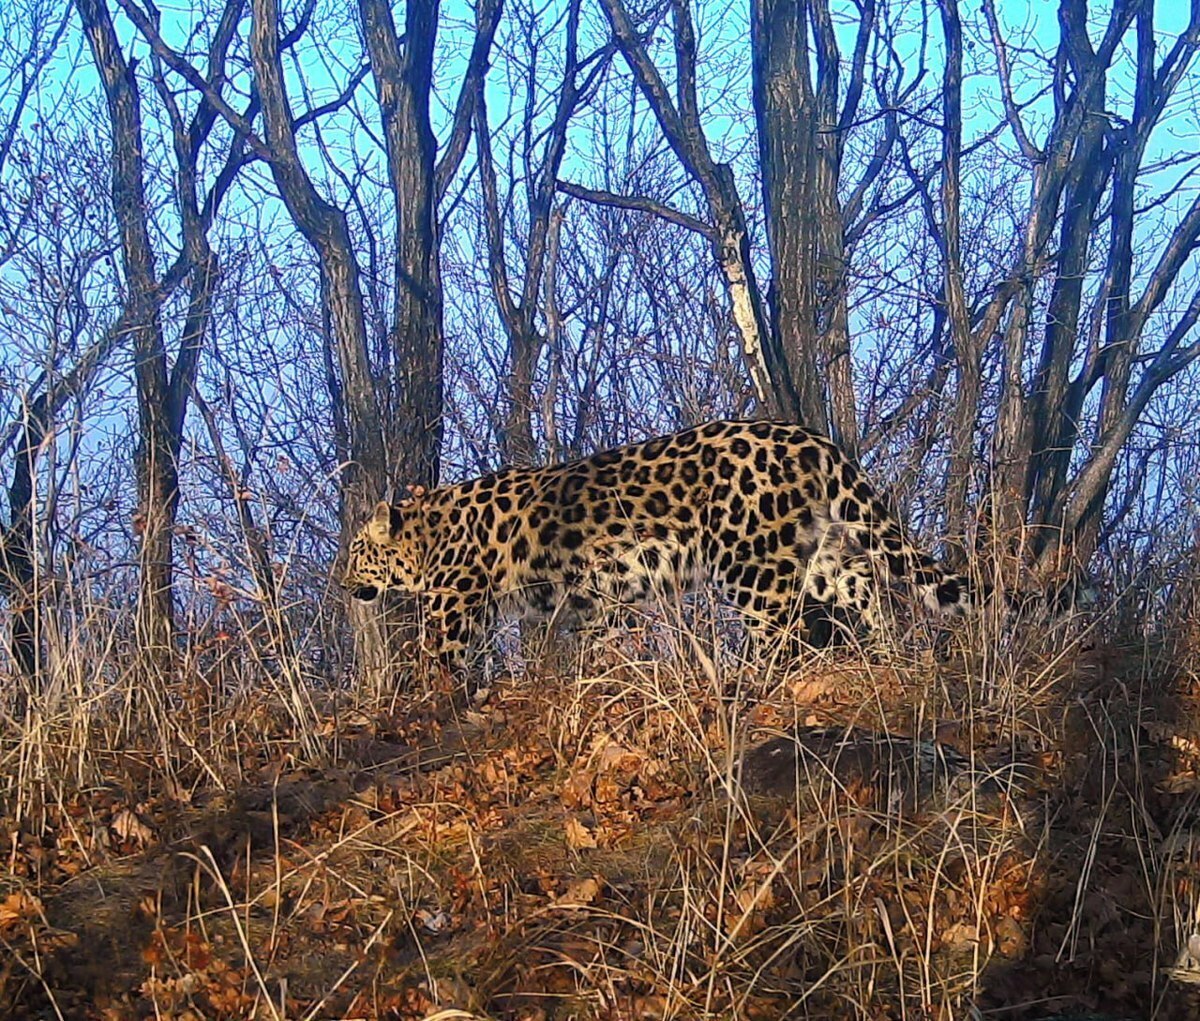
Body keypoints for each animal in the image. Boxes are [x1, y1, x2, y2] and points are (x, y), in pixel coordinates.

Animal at [343, 419, 979, 667]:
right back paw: (891, 654)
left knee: (780, 629)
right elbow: (602, 647)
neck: (425, 534)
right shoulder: (599, 598)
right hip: (816, 547)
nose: (342, 583)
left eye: (354, 552)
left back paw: (752, 679)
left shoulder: (453, 608)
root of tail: (808, 435)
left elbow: (440, 665)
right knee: (862, 582)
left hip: (749, 561)